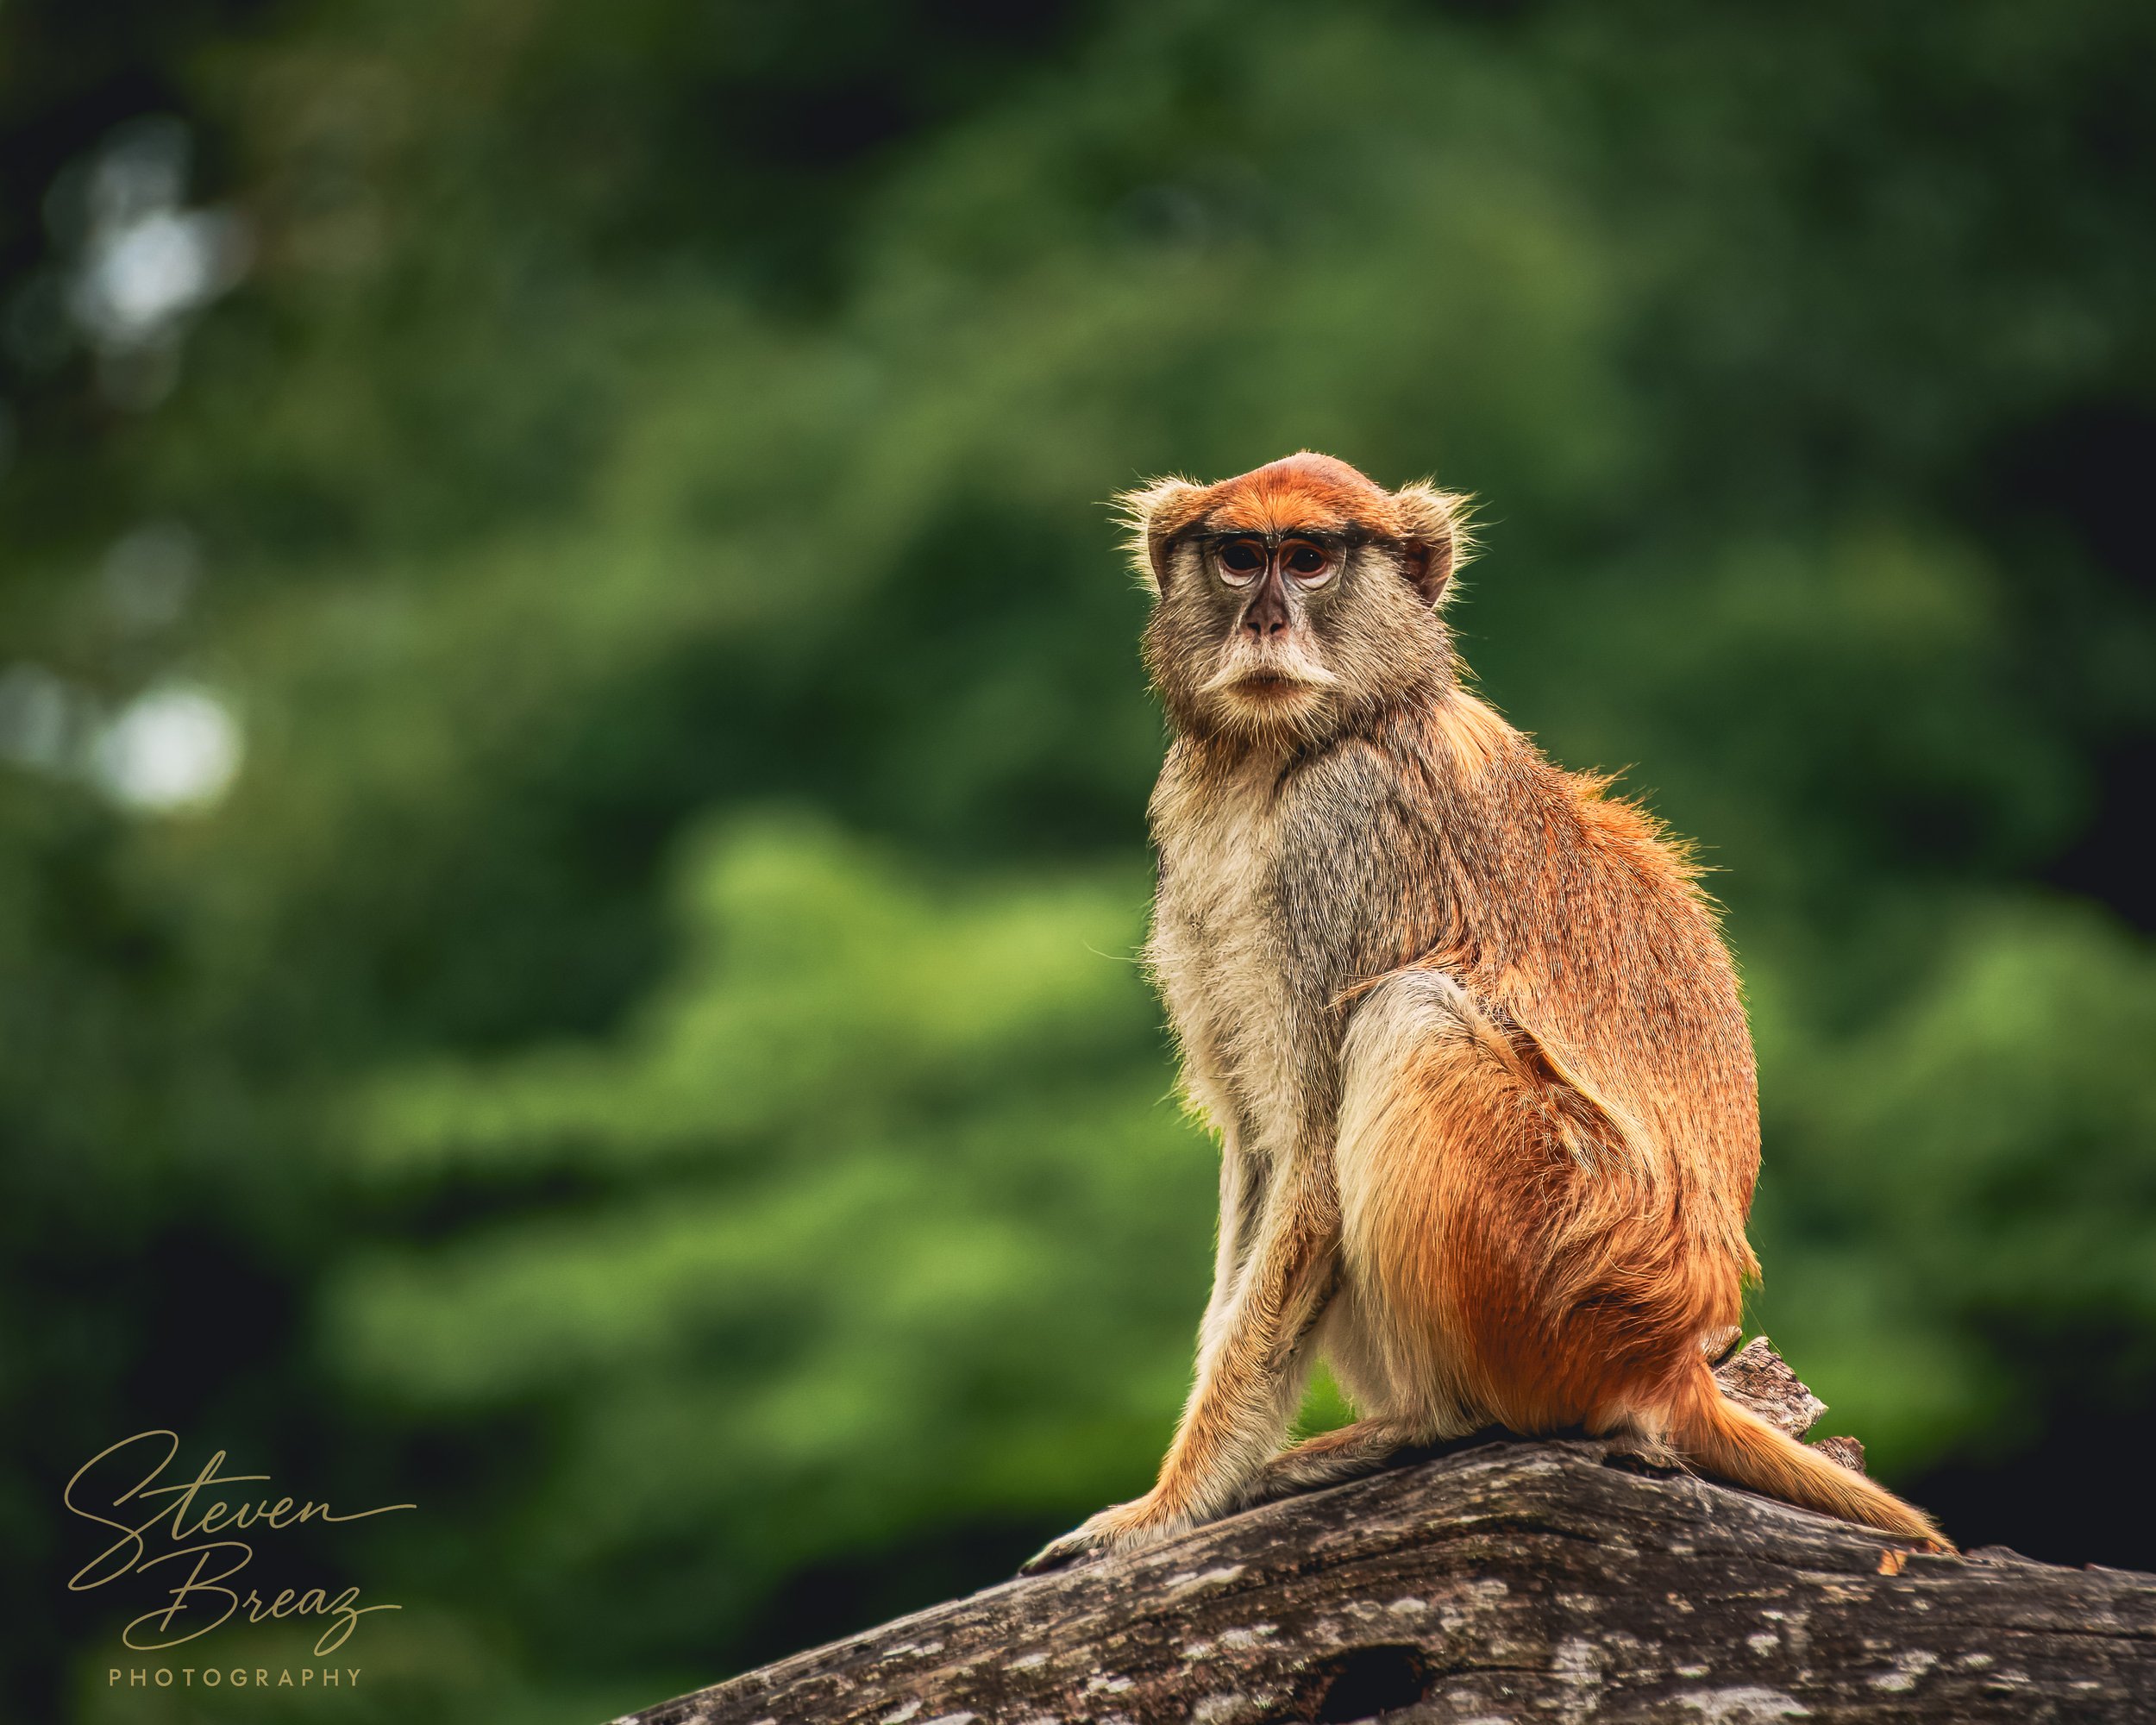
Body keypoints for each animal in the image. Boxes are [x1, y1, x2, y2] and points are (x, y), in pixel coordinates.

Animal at [1023, 451, 1945, 1571]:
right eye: (1240, 556)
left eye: (1311, 558)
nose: (1265, 620)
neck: (1302, 745)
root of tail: (1672, 1362)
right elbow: (1261, 1150)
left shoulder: (1344, 829)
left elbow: (1311, 1161)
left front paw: (1169, 1502)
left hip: (1554, 1291)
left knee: (1408, 1013)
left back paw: (1431, 1419)